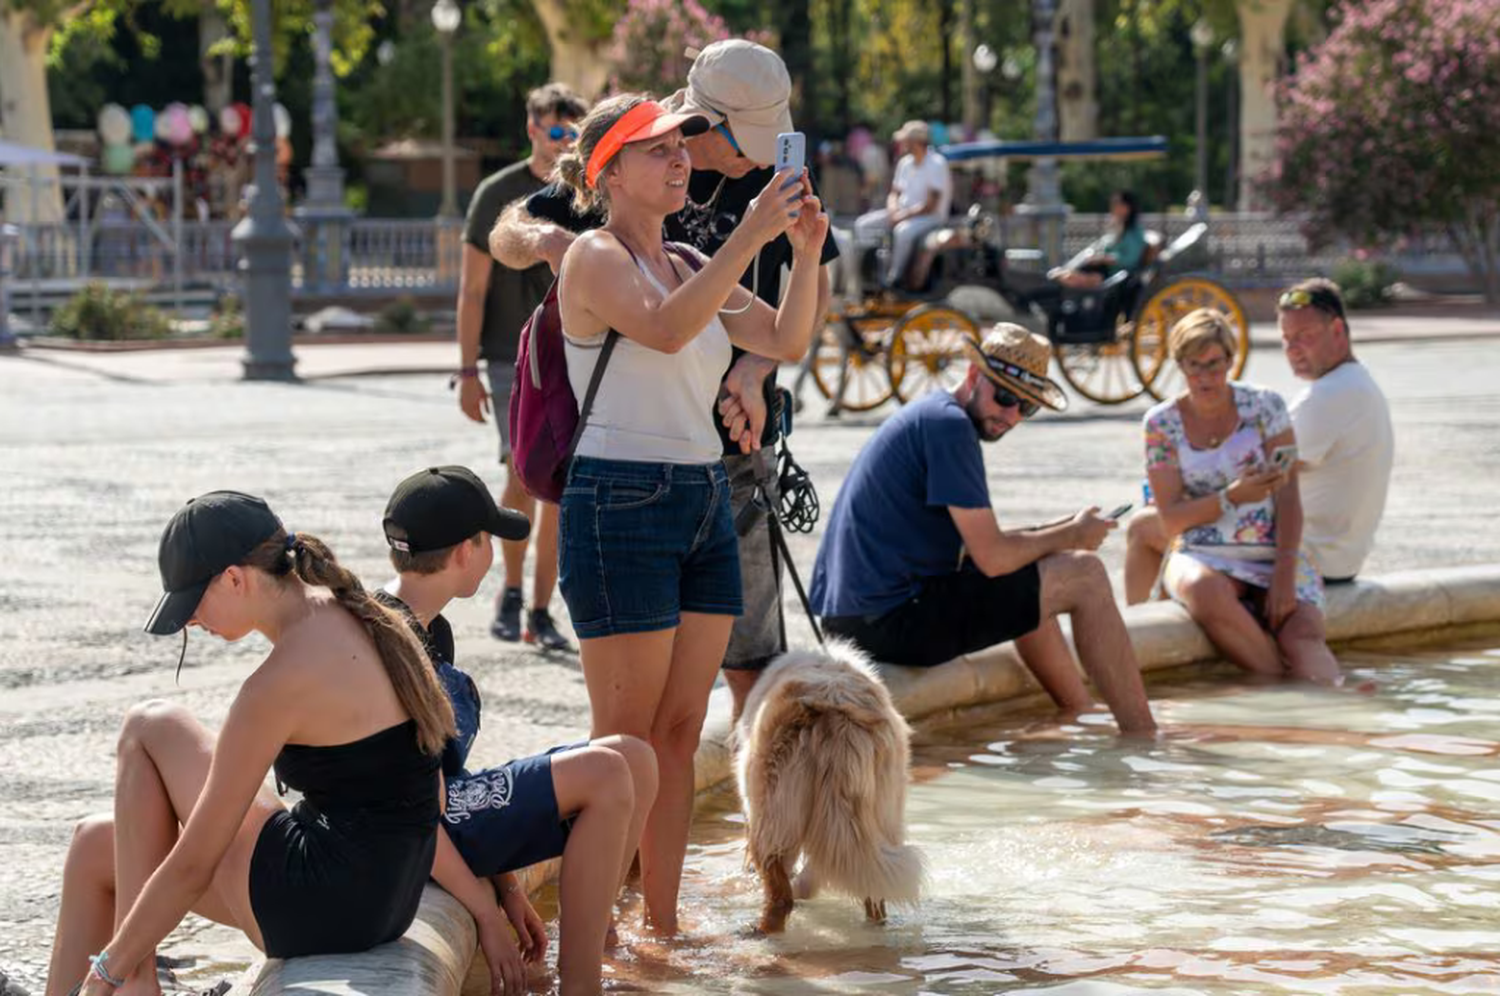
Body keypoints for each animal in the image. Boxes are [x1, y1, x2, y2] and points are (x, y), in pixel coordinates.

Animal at [732, 639, 918, 936]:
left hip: (774, 810)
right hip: (883, 813)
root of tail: (837, 710)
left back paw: (761, 931)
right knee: (874, 892)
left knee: (780, 895)